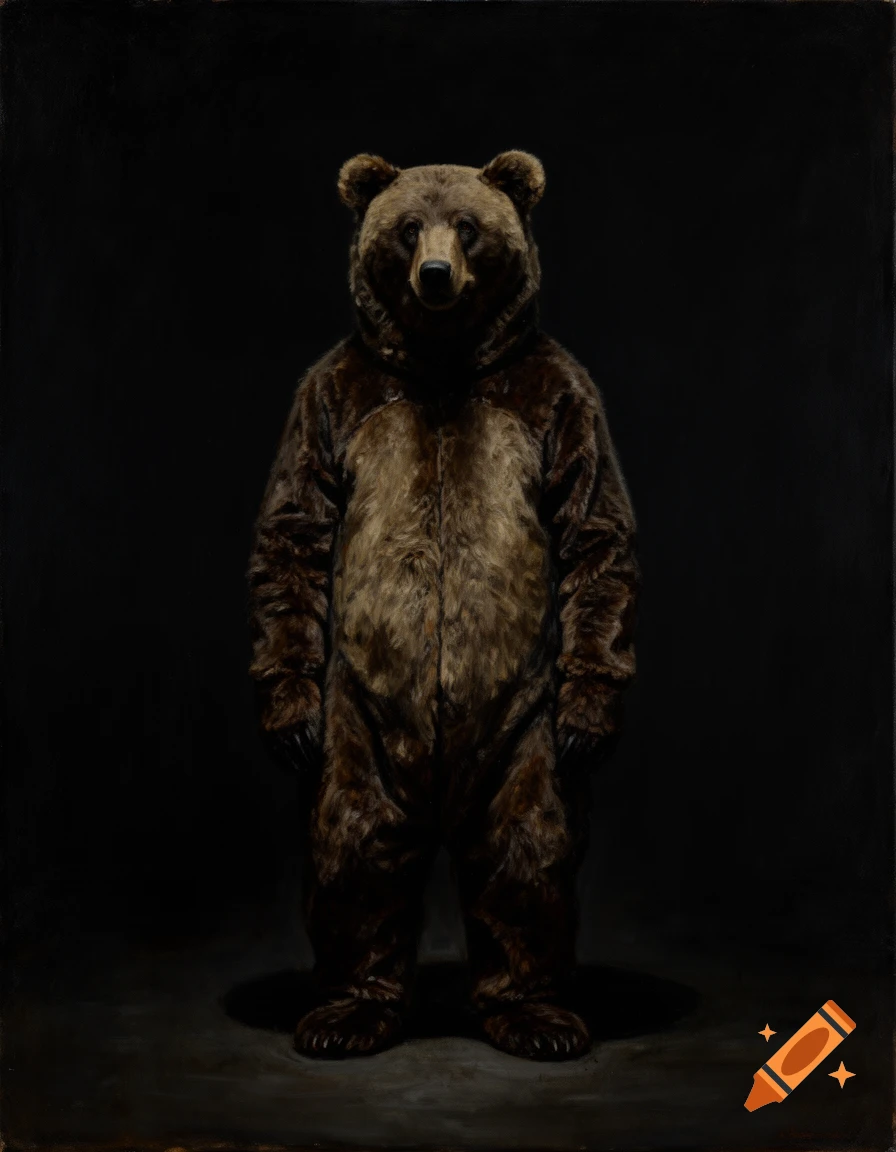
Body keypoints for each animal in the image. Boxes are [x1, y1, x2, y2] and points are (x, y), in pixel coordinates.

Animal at [247, 151, 640, 1062]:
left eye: (467, 225)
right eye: (405, 228)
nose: (434, 275)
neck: (441, 366)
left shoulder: (558, 399)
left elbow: (594, 528)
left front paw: (594, 712)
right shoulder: (334, 399)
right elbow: (296, 528)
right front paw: (283, 713)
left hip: (522, 718)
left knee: (526, 844)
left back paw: (538, 1017)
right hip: (355, 715)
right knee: (352, 840)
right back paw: (345, 1013)